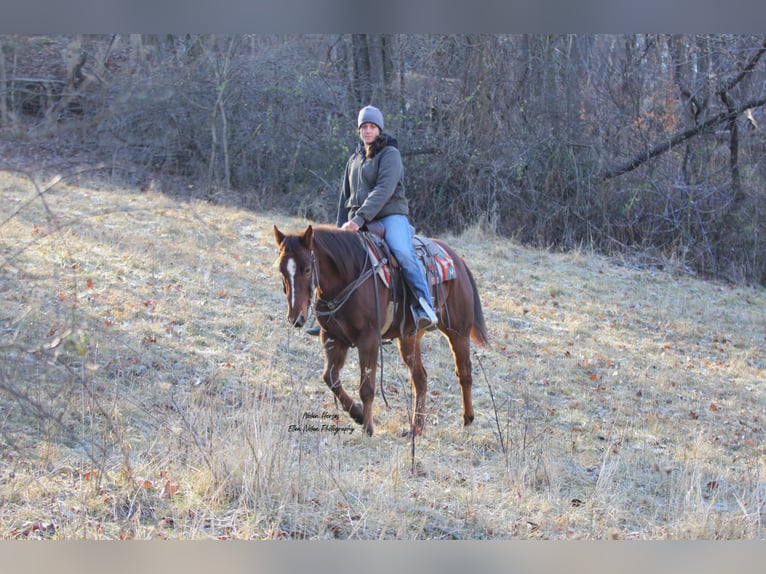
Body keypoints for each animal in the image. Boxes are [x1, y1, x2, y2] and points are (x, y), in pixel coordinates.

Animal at [274, 225, 492, 436]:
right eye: (281, 270)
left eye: (307, 269)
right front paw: (358, 414)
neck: (348, 276)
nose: (296, 317)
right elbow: (330, 378)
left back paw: (467, 420)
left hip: (458, 332)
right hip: (409, 338)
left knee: (464, 372)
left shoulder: (368, 339)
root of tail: (457, 260)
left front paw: (368, 428)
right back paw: (416, 428)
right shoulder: (332, 337)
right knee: (420, 378)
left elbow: (367, 388)